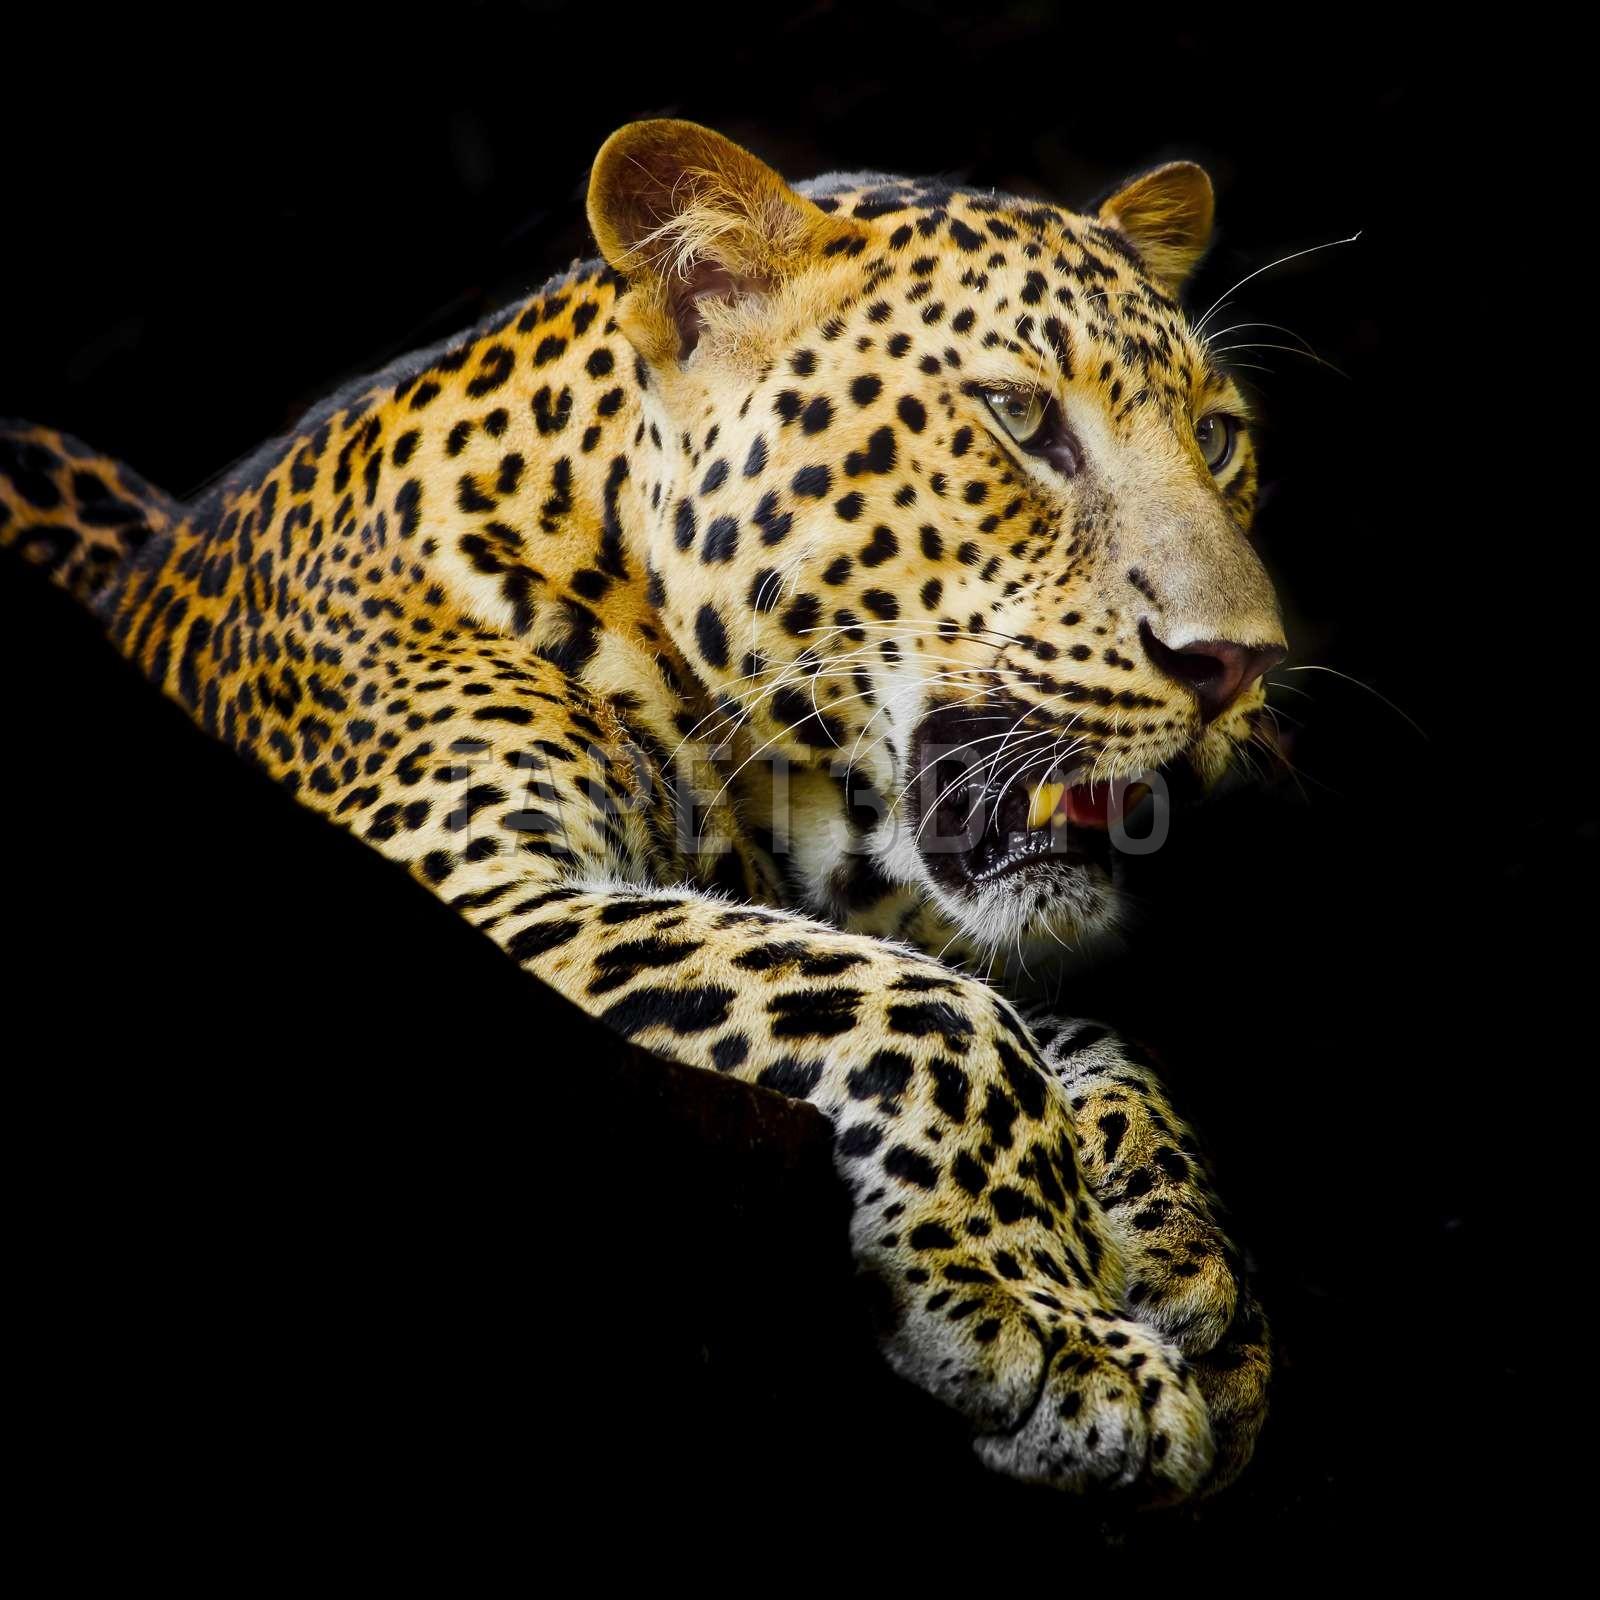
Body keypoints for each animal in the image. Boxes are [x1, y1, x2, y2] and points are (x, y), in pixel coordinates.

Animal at [1, 119, 1282, 1500]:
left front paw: (1181, 1256)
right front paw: (1059, 1327)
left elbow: (1081, 1031)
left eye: (1216, 437)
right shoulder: (468, 882)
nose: (1239, 663)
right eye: (1018, 415)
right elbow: (929, 1004)